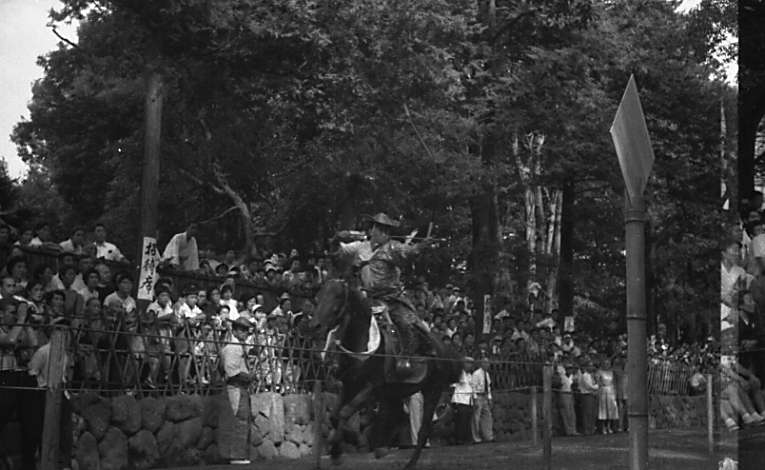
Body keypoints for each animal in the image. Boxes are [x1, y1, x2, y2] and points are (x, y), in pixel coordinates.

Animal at [308, 278, 462, 469]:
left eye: (337, 297)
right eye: (318, 296)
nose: (315, 326)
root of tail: (442, 349)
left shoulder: (372, 388)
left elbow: (344, 412)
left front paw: (336, 453)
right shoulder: (349, 385)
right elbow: (335, 416)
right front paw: (336, 451)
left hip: (432, 390)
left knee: (423, 430)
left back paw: (409, 464)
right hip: (396, 392)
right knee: (394, 414)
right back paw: (381, 448)